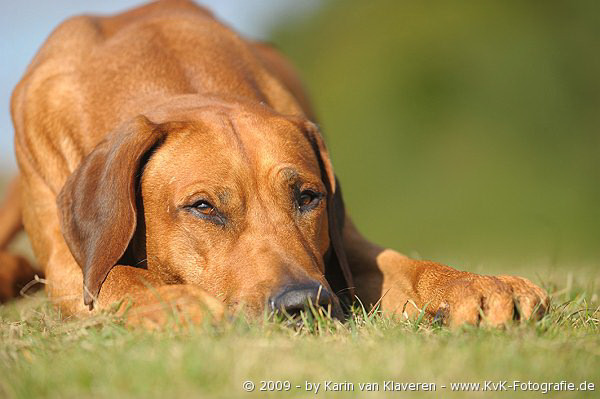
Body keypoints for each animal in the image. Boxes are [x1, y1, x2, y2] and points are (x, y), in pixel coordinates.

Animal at [0, 0, 548, 328]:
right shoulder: (70, 269)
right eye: (203, 207)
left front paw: (476, 284)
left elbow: (401, 264)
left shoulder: (342, 244)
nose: (303, 304)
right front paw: (175, 302)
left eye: (308, 197)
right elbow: (113, 276)